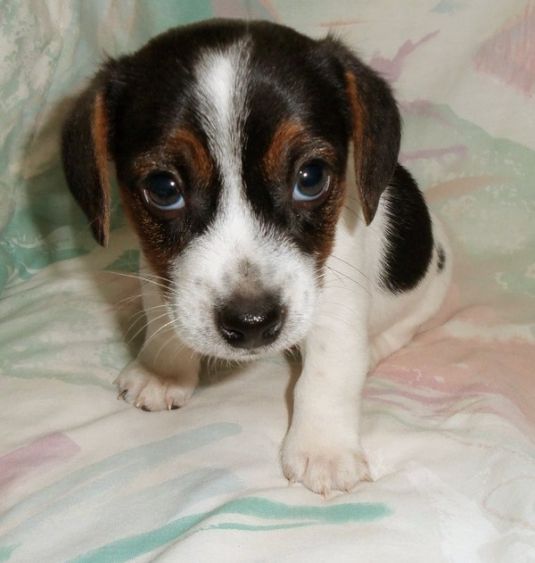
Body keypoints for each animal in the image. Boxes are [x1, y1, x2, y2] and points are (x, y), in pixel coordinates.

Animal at [61, 18, 452, 494]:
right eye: (163, 188)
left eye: (311, 177)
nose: (251, 324)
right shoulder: (159, 274)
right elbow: (163, 320)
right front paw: (160, 369)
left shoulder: (336, 309)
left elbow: (327, 377)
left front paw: (324, 451)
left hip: (426, 292)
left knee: (401, 329)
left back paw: (375, 350)